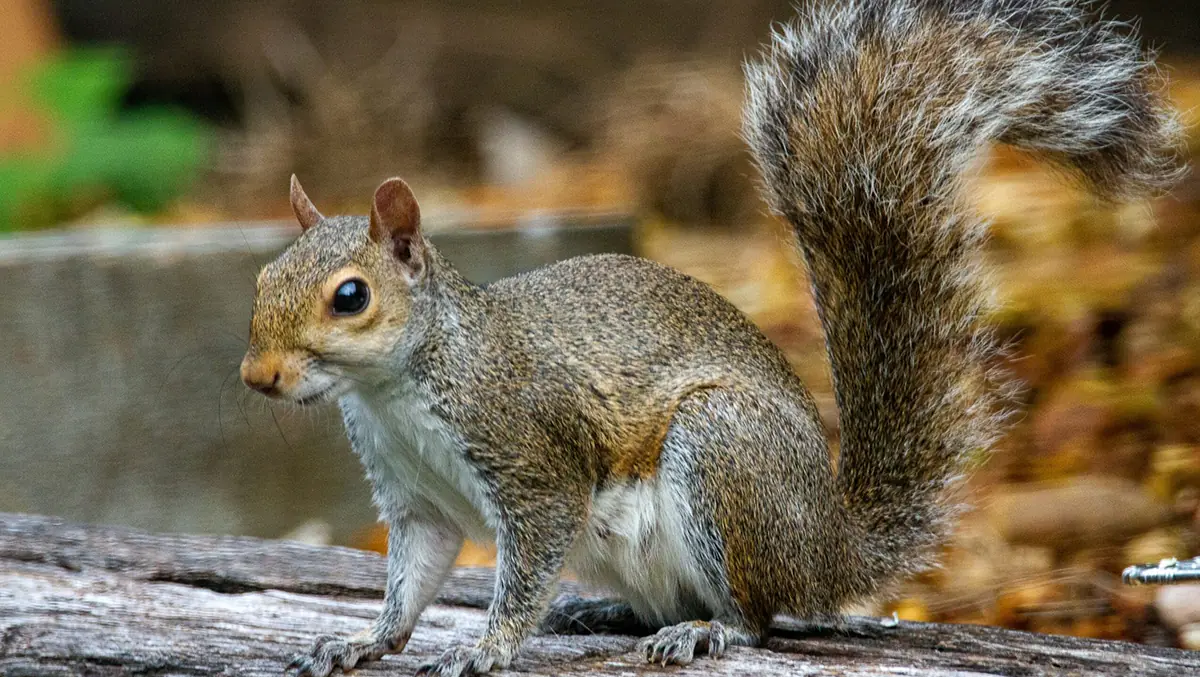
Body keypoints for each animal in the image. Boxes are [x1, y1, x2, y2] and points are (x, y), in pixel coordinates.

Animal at [241, 1, 1184, 675]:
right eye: (260, 280)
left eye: (351, 297)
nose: (256, 377)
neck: (397, 388)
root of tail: (827, 546)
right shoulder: (415, 498)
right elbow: (412, 581)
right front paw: (362, 641)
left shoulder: (532, 458)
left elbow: (528, 556)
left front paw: (487, 646)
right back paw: (607, 610)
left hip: (722, 456)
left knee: (760, 617)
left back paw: (704, 631)